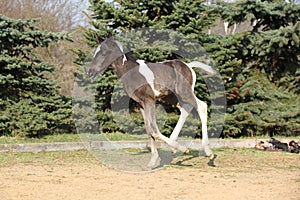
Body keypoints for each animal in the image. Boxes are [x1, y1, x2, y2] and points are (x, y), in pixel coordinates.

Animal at [88, 36, 214, 169]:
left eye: (104, 52)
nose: (89, 72)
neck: (132, 72)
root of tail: (188, 66)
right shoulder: (141, 104)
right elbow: (149, 129)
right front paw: (153, 160)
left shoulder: (150, 100)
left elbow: (154, 129)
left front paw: (183, 149)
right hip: (171, 97)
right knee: (185, 108)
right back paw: (174, 145)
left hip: (185, 92)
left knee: (201, 106)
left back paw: (208, 152)